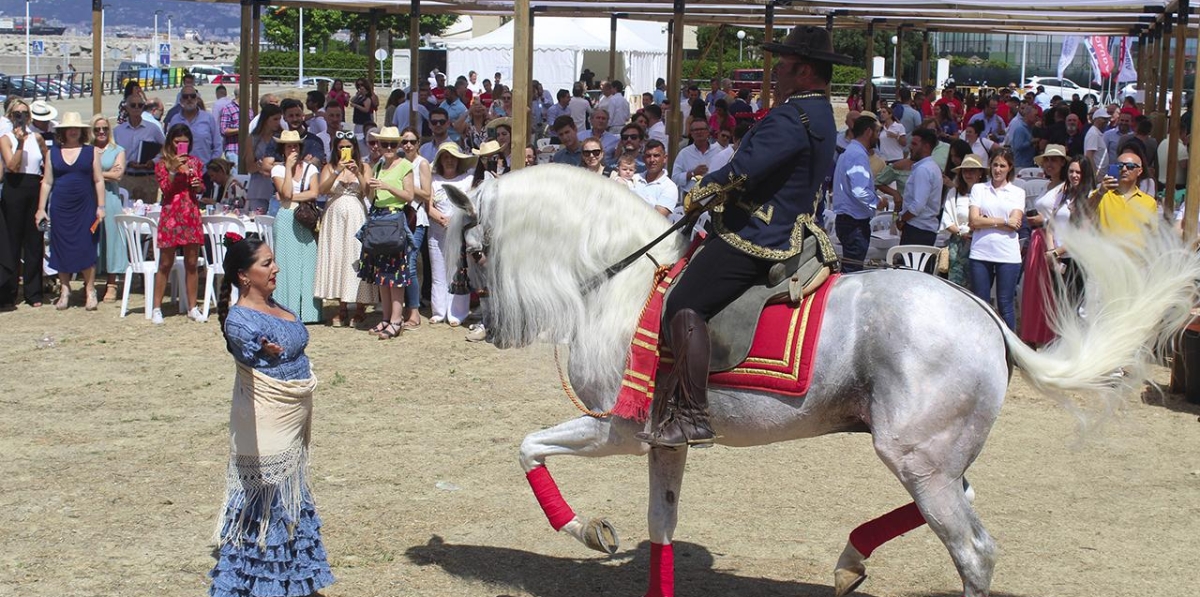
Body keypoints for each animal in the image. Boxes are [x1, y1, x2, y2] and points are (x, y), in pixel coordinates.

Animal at [448, 165, 1200, 597]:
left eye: (473, 242)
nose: (476, 317)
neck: (623, 281)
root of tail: (983, 311)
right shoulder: (666, 441)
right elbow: (662, 526)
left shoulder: (620, 428)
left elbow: (528, 446)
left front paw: (585, 527)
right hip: (931, 454)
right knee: (967, 504)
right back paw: (850, 558)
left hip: (913, 456)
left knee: (975, 552)